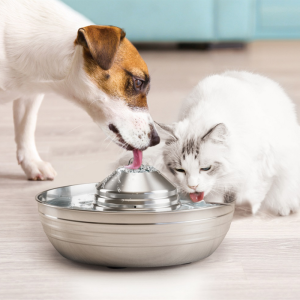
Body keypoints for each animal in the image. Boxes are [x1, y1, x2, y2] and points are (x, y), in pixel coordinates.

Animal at [119, 71, 300, 214]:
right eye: (180, 170)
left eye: (206, 168)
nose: (192, 186)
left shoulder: (261, 165)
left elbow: (254, 191)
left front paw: (248, 207)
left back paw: (283, 209)